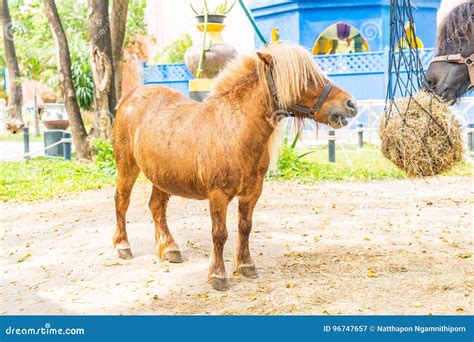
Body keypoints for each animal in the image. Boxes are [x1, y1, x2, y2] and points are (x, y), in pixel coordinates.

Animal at [112, 41, 356, 290]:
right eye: (306, 78)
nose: (350, 104)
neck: (235, 130)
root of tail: (129, 98)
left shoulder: (252, 192)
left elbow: (245, 227)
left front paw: (246, 265)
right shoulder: (218, 195)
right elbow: (220, 233)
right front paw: (218, 275)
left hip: (161, 176)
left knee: (156, 206)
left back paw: (168, 248)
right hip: (127, 167)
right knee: (122, 201)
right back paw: (123, 246)